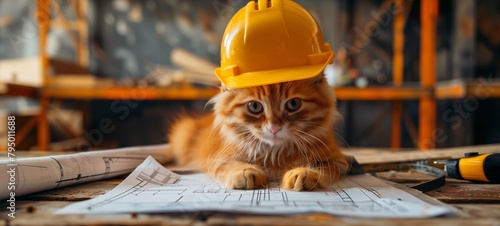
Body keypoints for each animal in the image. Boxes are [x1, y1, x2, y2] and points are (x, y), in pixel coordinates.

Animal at [168, 73, 348, 191]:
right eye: (254, 106)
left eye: (293, 104)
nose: (274, 127)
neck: (275, 153)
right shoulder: (218, 159)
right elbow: (232, 165)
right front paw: (245, 172)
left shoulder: (336, 161)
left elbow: (321, 168)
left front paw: (303, 174)